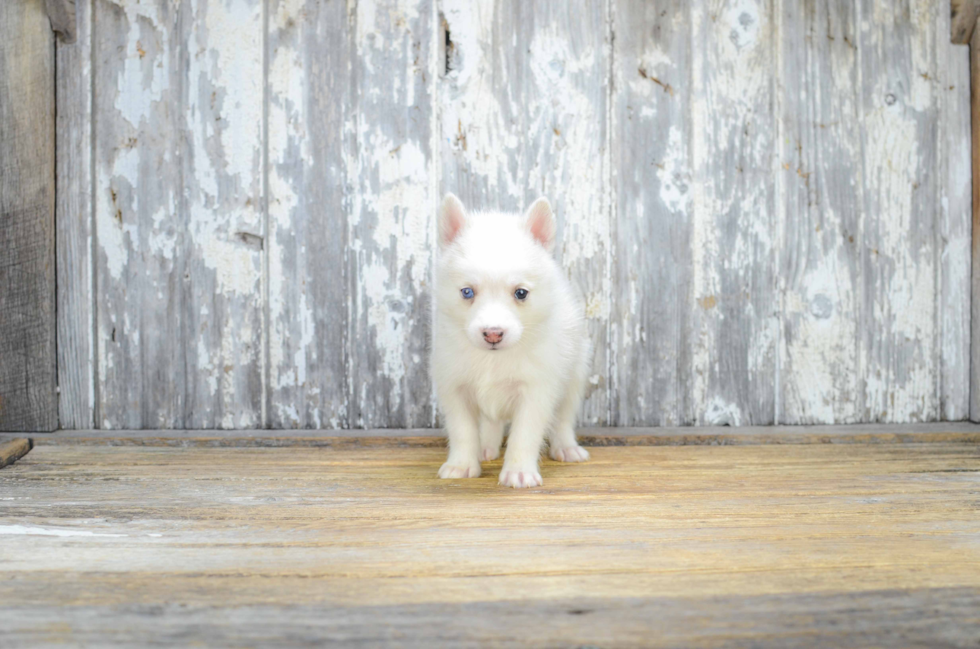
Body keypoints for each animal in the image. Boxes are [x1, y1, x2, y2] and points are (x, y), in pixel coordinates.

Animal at [434, 192, 588, 486]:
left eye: (521, 293)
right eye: (467, 292)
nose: (493, 333)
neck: (493, 360)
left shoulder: (536, 391)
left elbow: (524, 435)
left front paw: (519, 472)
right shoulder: (454, 386)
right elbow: (462, 430)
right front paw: (461, 464)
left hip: (573, 378)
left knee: (563, 419)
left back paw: (566, 447)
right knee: (491, 422)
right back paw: (486, 447)